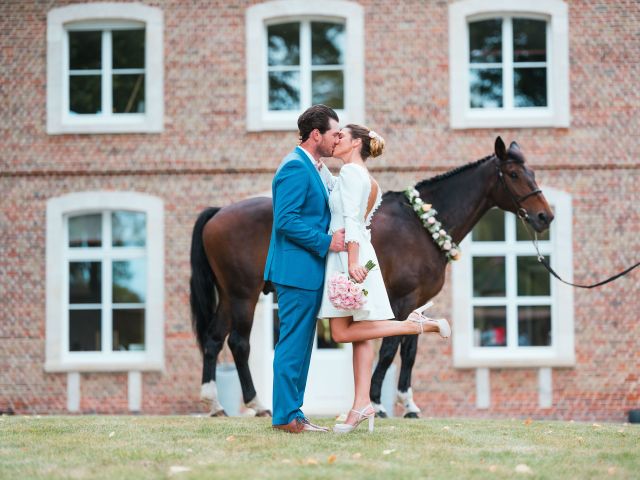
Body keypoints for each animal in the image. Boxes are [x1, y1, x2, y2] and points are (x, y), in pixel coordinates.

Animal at [190, 136, 556, 416]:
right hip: (243, 294)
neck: (422, 226)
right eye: (513, 173)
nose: (545, 216)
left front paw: (409, 406)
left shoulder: (418, 302)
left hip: (229, 294)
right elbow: (390, 348)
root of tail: (219, 212)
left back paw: (215, 404)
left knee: (213, 339)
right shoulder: (402, 299)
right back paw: (255, 403)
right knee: (238, 343)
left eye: (532, 171)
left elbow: (409, 351)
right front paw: (378, 404)